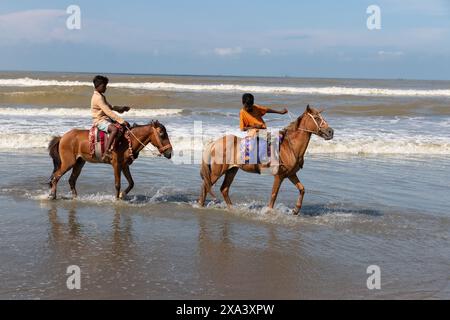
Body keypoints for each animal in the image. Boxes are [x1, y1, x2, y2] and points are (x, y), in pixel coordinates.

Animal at [199, 105, 332, 215]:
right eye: (317, 118)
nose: (331, 131)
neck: (289, 147)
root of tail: (214, 143)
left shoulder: (291, 174)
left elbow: (302, 189)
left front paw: (296, 210)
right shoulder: (279, 176)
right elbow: (274, 195)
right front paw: (269, 211)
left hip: (232, 170)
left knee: (224, 189)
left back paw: (232, 208)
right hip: (217, 171)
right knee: (206, 186)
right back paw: (200, 205)